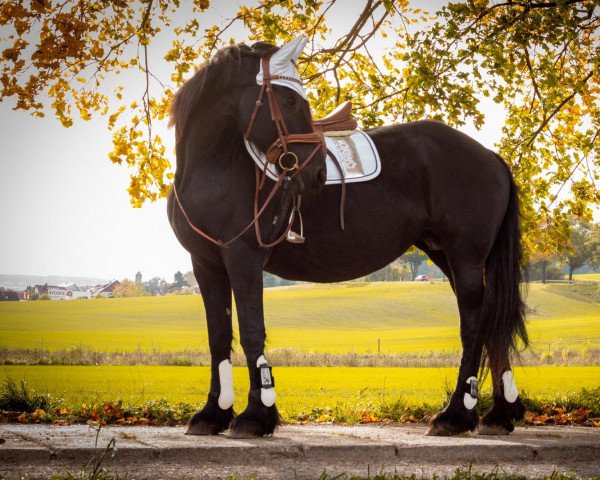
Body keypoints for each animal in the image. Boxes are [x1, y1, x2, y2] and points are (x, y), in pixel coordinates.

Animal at [166, 38, 528, 438]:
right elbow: (218, 336)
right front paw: (212, 413)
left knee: (474, 328)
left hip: (466, 258)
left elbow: (250, 331)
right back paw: (499, 414)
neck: (215, 165)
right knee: (491, 323)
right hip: (448, 257)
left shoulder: (243, 258)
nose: (316, 172)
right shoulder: (206, 264)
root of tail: (491, 156)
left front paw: (255, 417)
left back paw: (455, 415)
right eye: (289, 100)